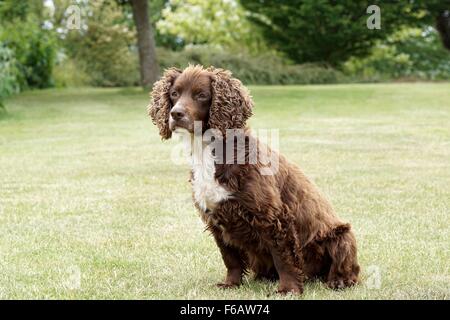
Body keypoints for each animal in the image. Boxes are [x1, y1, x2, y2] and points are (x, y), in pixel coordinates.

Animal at [149, 65, 360, 296]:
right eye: (174, 94)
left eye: (201, 95)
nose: (175, 114)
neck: (209, 153)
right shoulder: (216, 218)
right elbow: (230, 258)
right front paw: (231, 284)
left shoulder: (275, 217)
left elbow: (284, 258)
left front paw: (288, 289)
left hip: (342, 236)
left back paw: (338, 281)